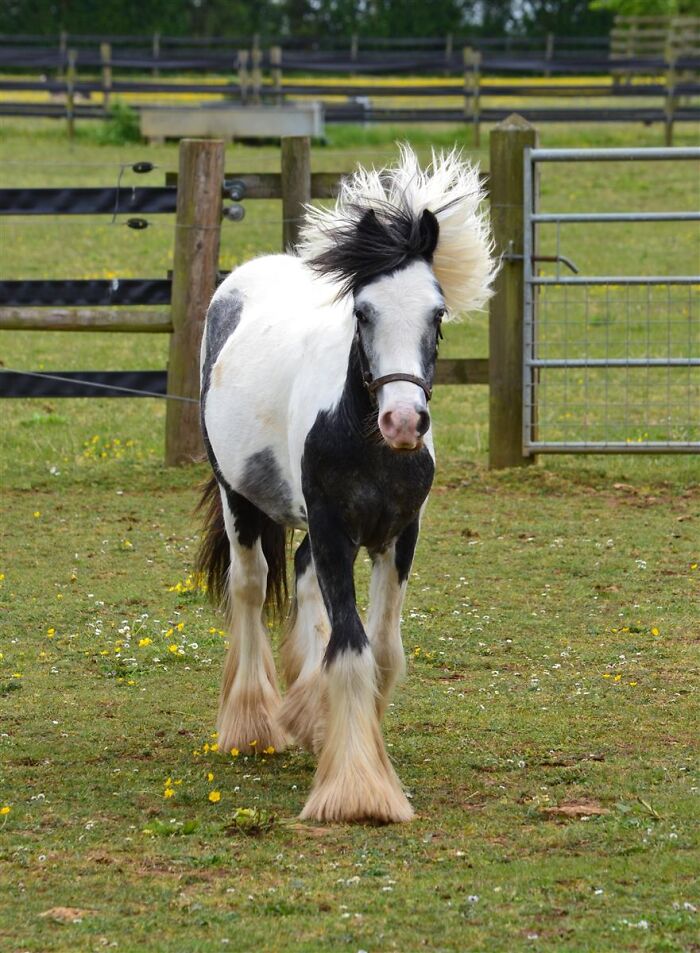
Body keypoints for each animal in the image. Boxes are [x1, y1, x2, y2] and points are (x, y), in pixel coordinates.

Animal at [196, 145, 494, 823]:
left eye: (438, 314)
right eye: (363, 312)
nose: (403, 421)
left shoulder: (397, 536)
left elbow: (380, 651)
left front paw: (344, 744)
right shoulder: (336, 531)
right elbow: (352, 646)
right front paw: (358, 790)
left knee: (302, 579)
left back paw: (306, 713)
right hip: (238, 497)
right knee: (250, 587)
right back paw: (251, 723)